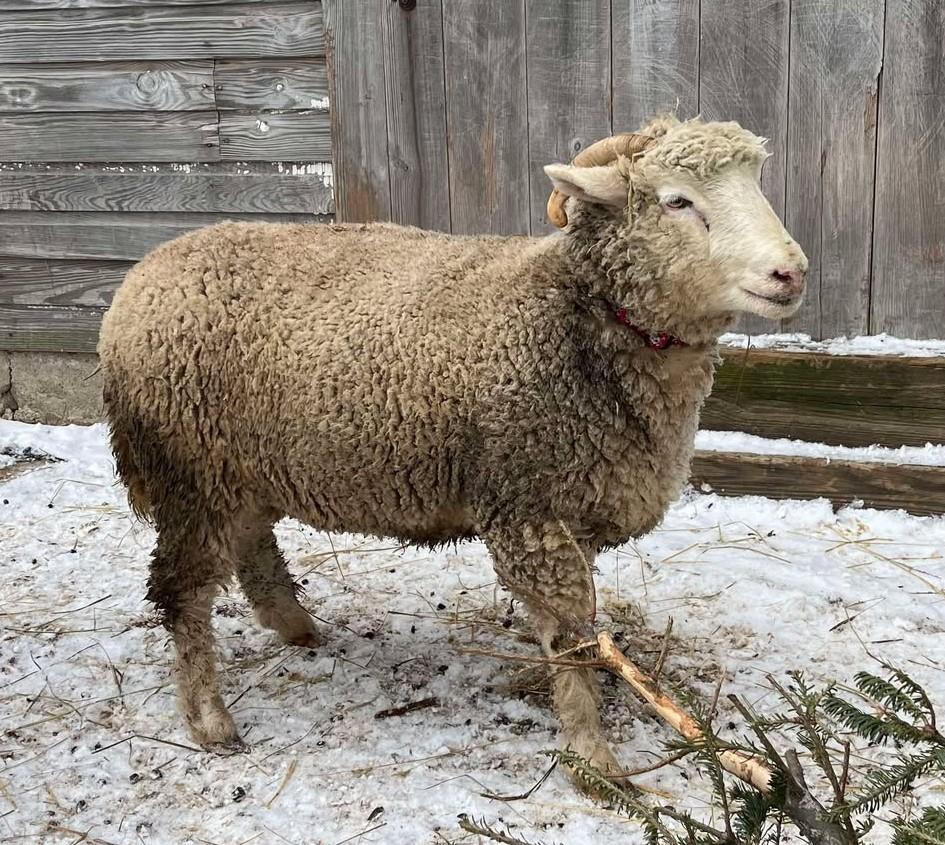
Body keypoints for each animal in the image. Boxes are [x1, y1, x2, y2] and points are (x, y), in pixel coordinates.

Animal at [98, 114, 808, 784]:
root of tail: (139, 279)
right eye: (676, 201)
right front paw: (593, 756)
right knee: (183, 592)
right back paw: (210, 720)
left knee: (250, 547)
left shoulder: (574, 508)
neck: (571, 313)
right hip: (189, 469)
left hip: (243, 469)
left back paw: (295, 627)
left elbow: (573, 629)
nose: (791, 273)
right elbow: (570, 632)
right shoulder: (526, 506)